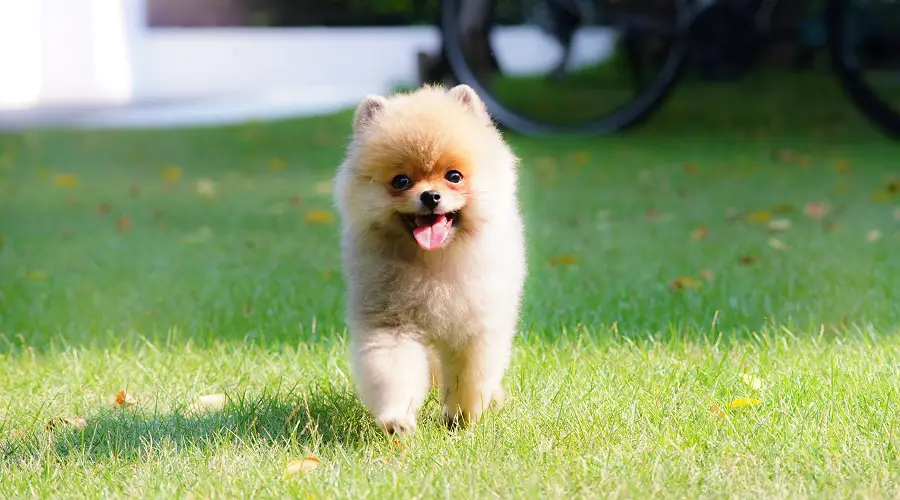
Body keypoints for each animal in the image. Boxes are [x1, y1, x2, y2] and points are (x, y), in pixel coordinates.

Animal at [334, 83, 524, 434]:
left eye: (454, 176)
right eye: (401, 181)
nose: (431, 196)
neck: (432, 266)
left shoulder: (474, 329)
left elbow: (469, 378)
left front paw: (461, 417)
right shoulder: (391, 325)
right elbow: (394, 372)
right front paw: (397, 419)